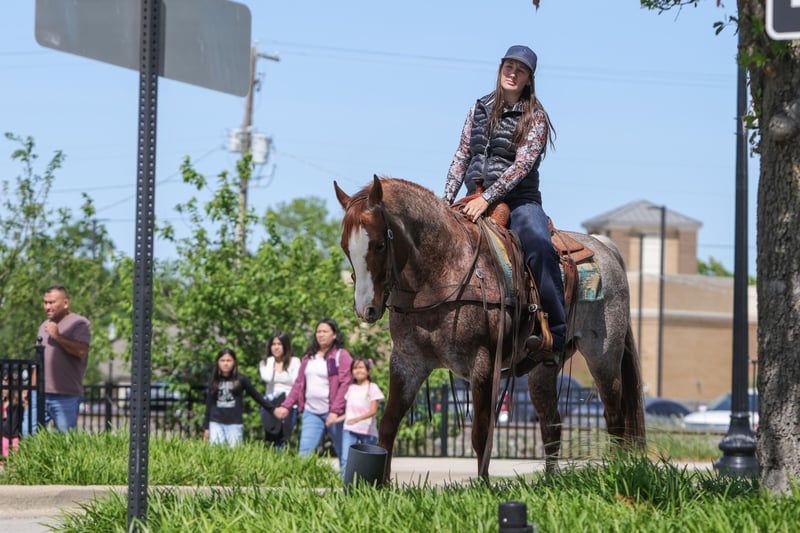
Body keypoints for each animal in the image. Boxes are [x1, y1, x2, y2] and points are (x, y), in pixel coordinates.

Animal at [334, 175, 645, 481]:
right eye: (345, 246)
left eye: (379, 245)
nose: (365, 309)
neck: (441, 272)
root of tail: (605, 248)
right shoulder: (407, 361)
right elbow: (388, 425)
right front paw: (380, 485)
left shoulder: (482, 362)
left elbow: (481, 433)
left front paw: (482, 486)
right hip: (543, 369)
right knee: (551, 424)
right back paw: (550, 482)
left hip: (603, 355)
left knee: (615, 417)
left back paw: (618, 472)